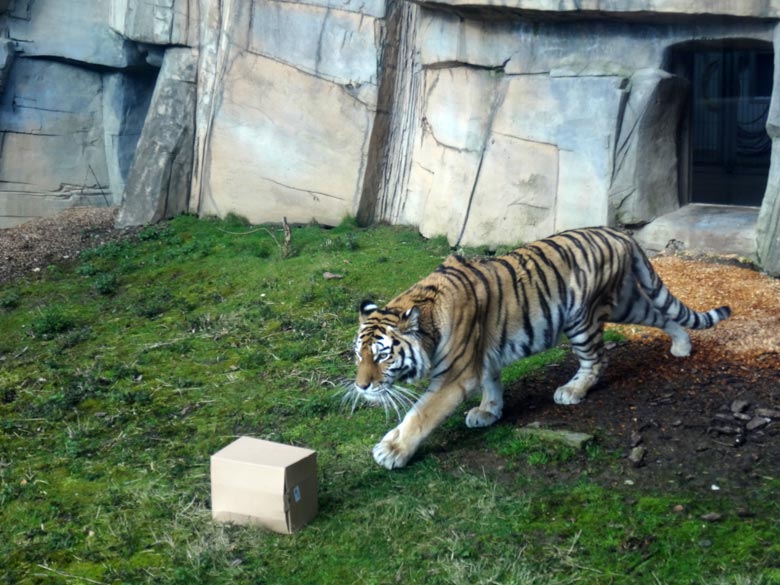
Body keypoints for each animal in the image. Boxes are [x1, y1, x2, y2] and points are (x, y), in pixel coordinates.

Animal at [350, 225, 736, 470]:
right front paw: (489, 412)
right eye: (359, 354)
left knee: (597, 359)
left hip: (581, 316)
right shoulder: (484, 354)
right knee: (662, 313)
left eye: (383, 354)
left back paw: (572, 390)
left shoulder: (454, 375)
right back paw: (682, 345)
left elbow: (421, 414)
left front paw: (393, 450)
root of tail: (617, 232)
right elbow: (492, 382)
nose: (361, 386)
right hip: (626, 302)